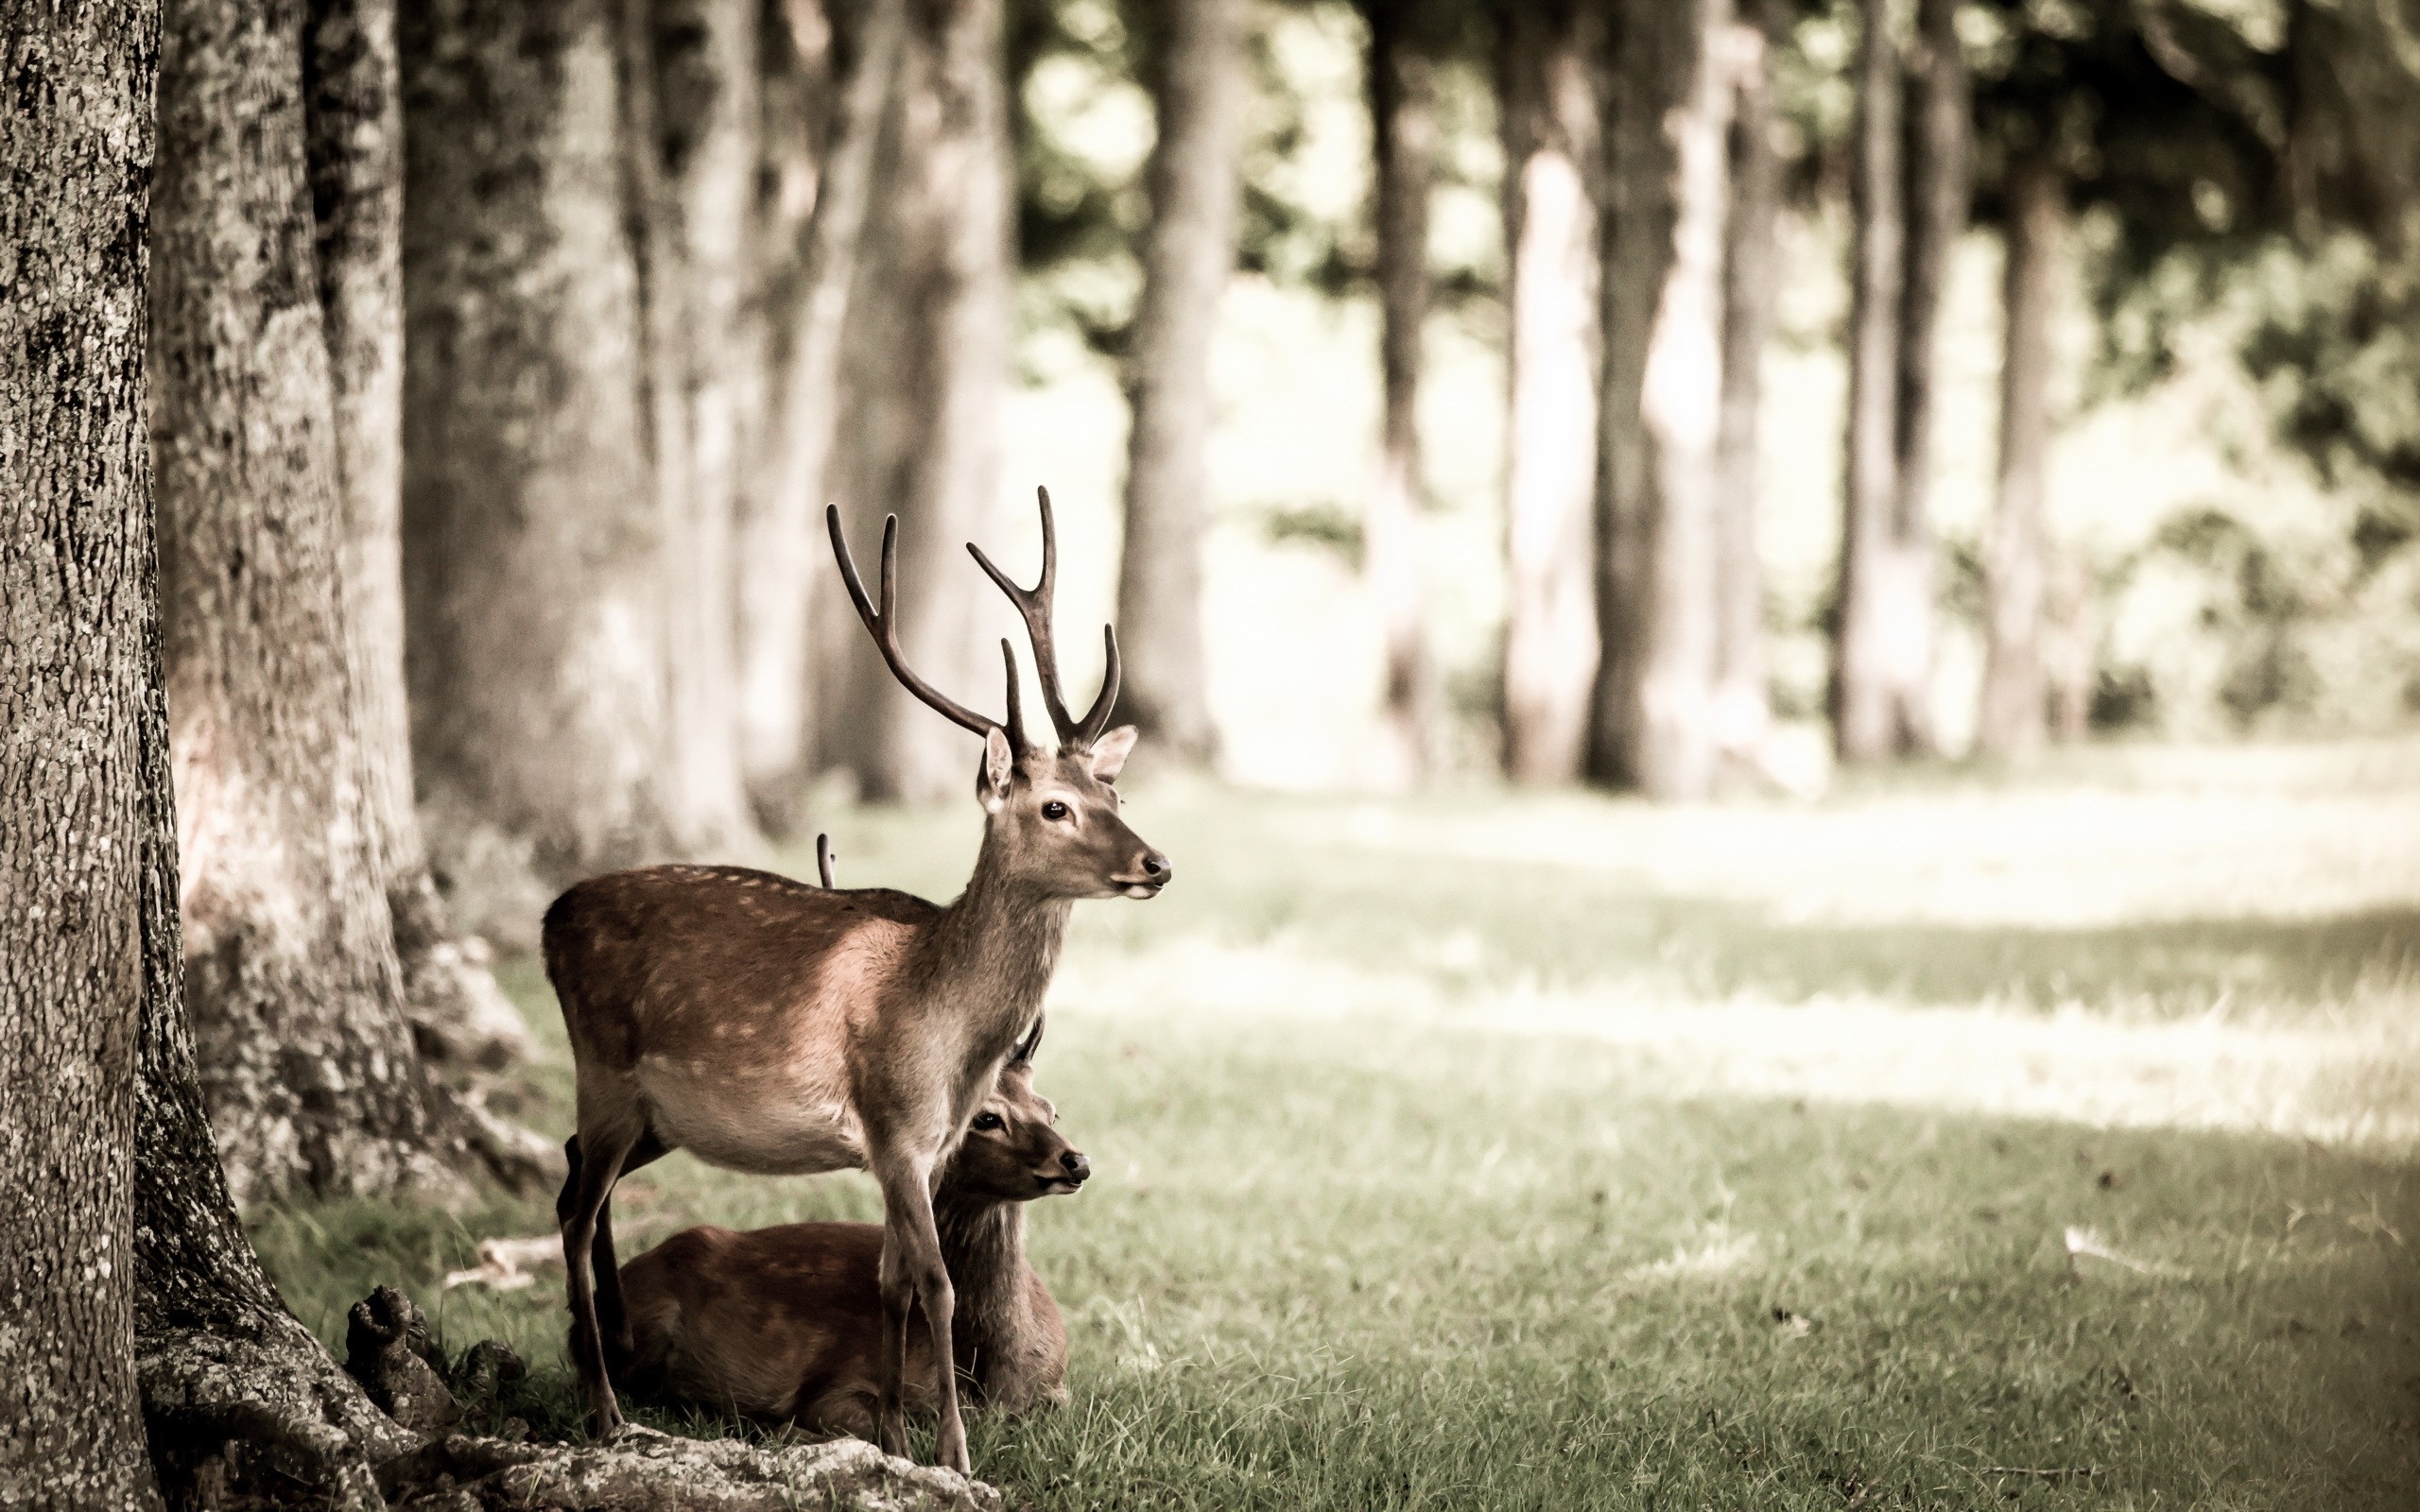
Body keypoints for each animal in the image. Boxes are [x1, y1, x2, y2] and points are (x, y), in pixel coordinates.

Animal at [605, 1015, 1084, 1437]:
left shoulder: (1057, 1388)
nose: (1076, 1161)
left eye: (1051, 1112)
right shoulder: (840, 1381)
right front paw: (781, 1425)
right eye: (986, 1118)